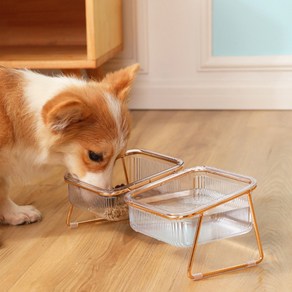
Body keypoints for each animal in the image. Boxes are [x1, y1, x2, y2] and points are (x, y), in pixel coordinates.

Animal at [0, 64, 140, 225]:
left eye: (117, 158)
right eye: (94, 156)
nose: (102, 202)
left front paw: (13, 213)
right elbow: (2, 188)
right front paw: (14, 212)